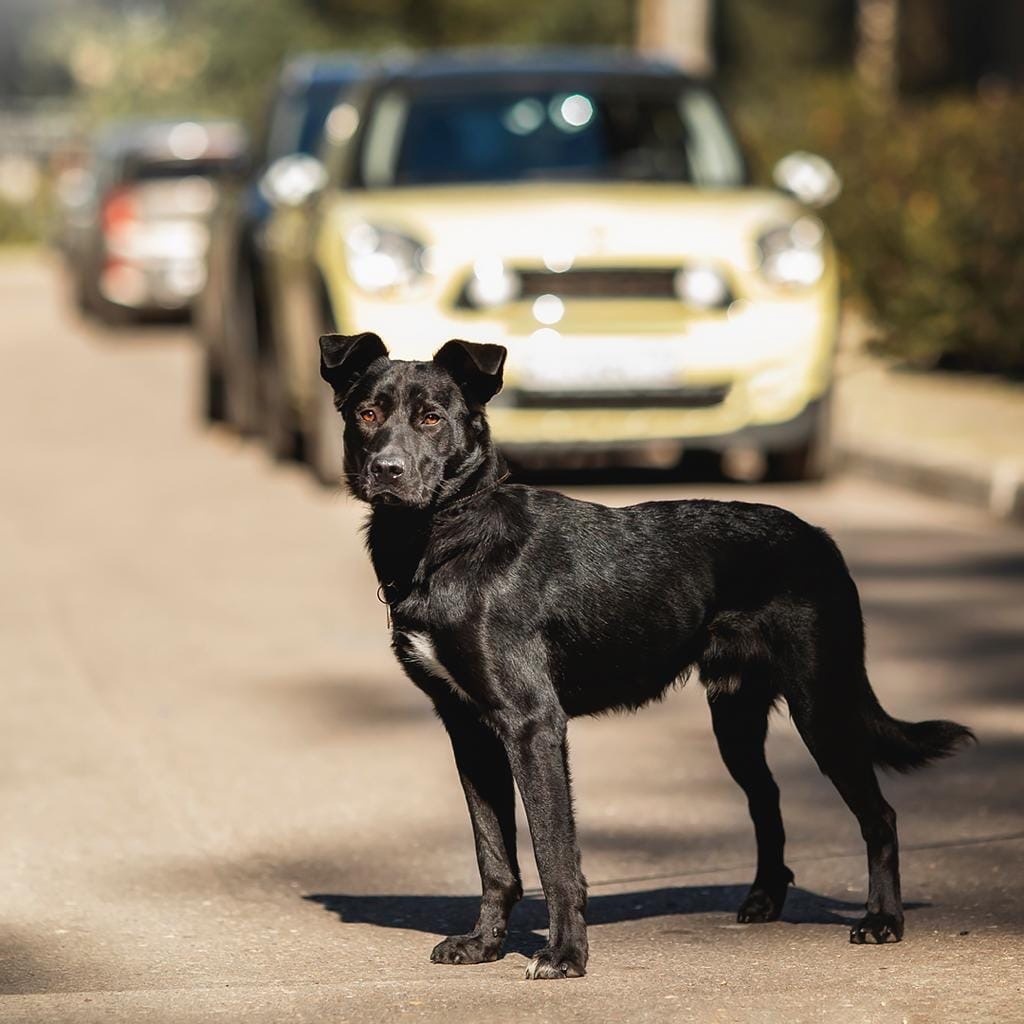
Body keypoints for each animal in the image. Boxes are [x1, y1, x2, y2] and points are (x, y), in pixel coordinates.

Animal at [319, 331, 974, 978]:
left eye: (432, 418)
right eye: (367, 414)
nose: (387, 470)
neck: (445, 540)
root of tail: (820, 539)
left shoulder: (532, 724)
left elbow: (555, 854)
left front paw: (565, 955)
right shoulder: (469, 729)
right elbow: (494, 856)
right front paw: (483, 945)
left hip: (821, 706)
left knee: (879, 816)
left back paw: (882, 920)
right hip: (735, 718)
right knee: (767, 802)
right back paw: (765, 899)